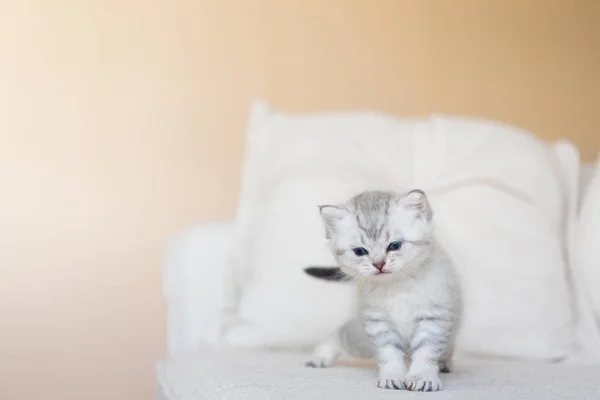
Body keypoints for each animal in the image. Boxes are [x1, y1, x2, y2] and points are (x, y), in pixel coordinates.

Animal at [302, 190, 462, 390]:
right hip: (361, 341)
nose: (378, 264)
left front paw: (422, 377)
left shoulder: (434, 318)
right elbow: (389, 354)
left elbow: (426, 353)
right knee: (341, 333)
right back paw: (321, 356)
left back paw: (445, 364)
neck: (397, 287)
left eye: (394, 245)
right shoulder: (378, 323)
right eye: (360, 251)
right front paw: (392, 376)